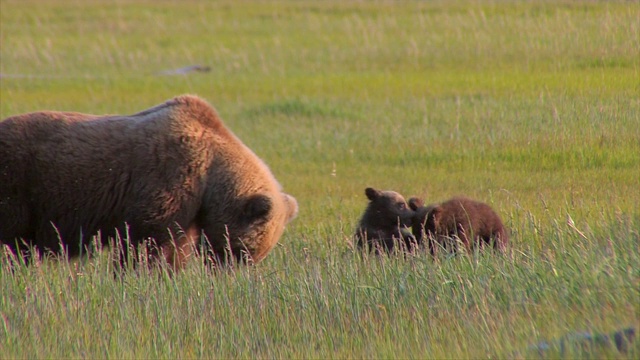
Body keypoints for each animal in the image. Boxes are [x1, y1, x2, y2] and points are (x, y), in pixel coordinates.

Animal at [0, 94, 298, 268]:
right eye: (244, 251)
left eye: (255, 254)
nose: (229, 269)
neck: (208, 178)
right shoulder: (167, 181)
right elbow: (146, 242)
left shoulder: (188, 210)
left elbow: (176, 247)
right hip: (19, 185)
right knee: (12, 239)